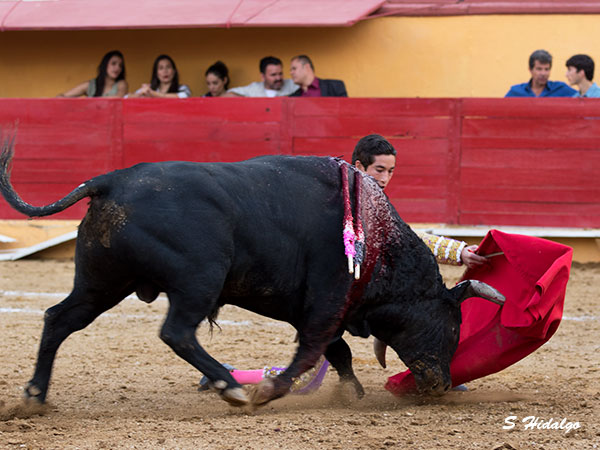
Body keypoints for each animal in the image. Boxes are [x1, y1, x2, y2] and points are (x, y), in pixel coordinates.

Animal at [0, 137, 504, 408]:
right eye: (453, 324)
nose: (441, 384)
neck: (378, 243)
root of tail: (111, 179)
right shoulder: (325, 303)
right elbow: (312, 352)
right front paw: (271, 389)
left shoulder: (314, 309)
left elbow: (336, 352)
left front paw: (351, 393)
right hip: (197, 280)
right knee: (177, 332)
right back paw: (234, 389)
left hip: (102, 282)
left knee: (59, 319)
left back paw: (34, 397)